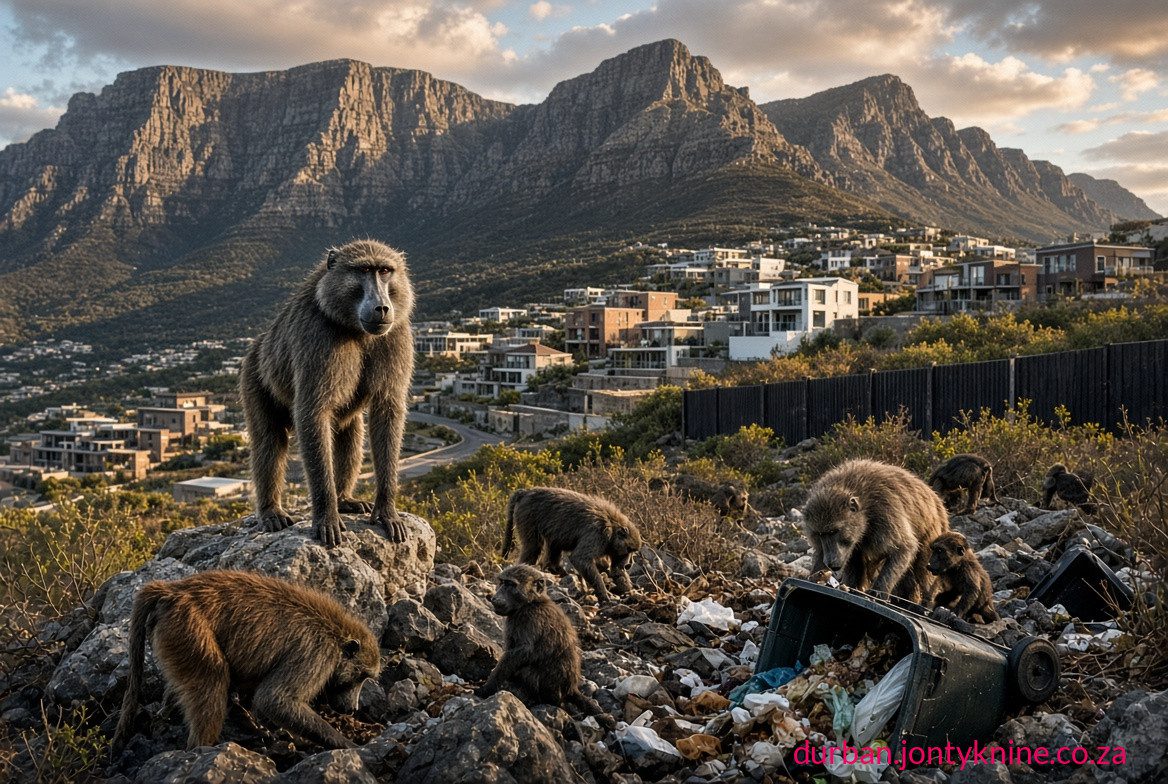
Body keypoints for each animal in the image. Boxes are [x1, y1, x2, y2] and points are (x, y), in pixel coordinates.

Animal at [112, 570, 380, 753]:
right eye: (361, 677)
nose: (353, 708)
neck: (336, 633)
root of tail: (174, 590)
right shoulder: (316, 654)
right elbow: (274, 700)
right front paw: (347, 744)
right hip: (188, 628)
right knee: (212, 680)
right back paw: (201, 749)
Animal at [239, 240, 415, 547]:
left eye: (384, 271)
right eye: (364, 271)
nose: (382, 308)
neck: (355, 329)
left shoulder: (397, 334)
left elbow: (387, 412)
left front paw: (387, 511)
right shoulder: (317, 336)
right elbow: (313, 413)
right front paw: (326, 517)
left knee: (350, 431)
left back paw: (344, 499)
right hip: (253, 375)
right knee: (269, 438)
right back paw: (272, 512)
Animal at [475, 564, 606, 722]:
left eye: (511, 585)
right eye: (502, 583)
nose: (495, 598)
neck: (533, 602)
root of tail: (570, 689)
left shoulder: (529, 619)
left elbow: (522, 651)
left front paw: (487, 688)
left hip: (546, 687)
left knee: (527, 671)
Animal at [501, 487, 642, 603]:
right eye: (629, 550)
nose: (628, 564)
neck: (612, 525)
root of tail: (526, 492)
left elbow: (615, 570)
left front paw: (629, 591)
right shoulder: (597, 533)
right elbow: (580, 559)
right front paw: (604, 595)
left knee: (553, 545)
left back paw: (557, 571)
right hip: (528, 516)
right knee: (533, 547)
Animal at [802, 459, 949, 604]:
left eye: (834, 531)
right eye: (820, 534)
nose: (832, 564)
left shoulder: (886, 511)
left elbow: (904, 547)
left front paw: (878, 591)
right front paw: (816, 576)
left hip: (932, 531)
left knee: (923, 569)